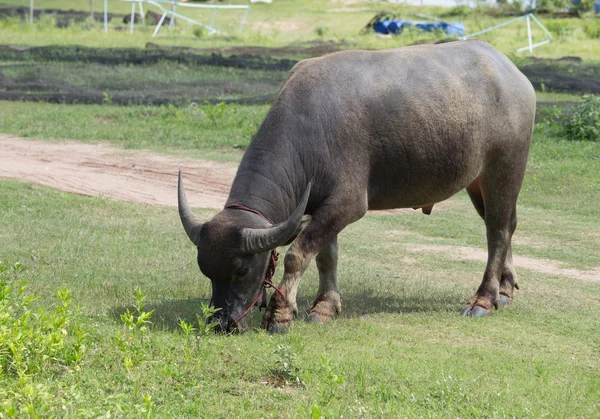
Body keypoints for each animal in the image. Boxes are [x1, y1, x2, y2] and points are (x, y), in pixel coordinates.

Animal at [177, 39, 536, 334]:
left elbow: (297, 254)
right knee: (506, 225)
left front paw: (280, 315)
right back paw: (504, 290)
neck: (308, 134)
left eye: (241, 270)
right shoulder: (321, 206)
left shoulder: (347, 204)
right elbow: (326, 256)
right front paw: (324, 307)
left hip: (504, 167)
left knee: (497, 230)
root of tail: (512, 73)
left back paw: (483, 300)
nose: (222, 323)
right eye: (205, 270)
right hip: (477, 181)